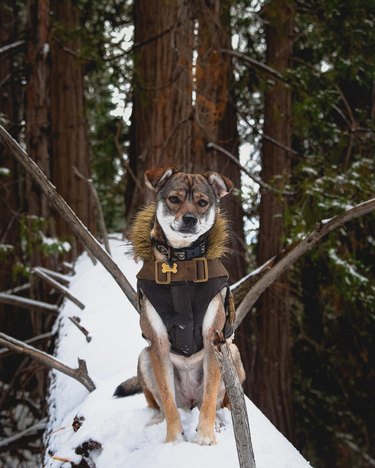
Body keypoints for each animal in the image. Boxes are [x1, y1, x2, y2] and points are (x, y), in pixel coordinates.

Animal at [114, 168, 247, 446]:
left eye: (202, 202)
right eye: (174, 199)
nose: (189, 219)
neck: (181, 264)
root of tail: (189, 400)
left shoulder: (213, 340)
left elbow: (210, 396)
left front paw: (205, 436)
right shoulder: (158, 343)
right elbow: (167, 399)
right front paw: (173, 439)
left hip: (232, 352)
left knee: (216, 402)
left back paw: (217, 422)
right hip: (145, 357)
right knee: (163, 404)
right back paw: (158, 420)